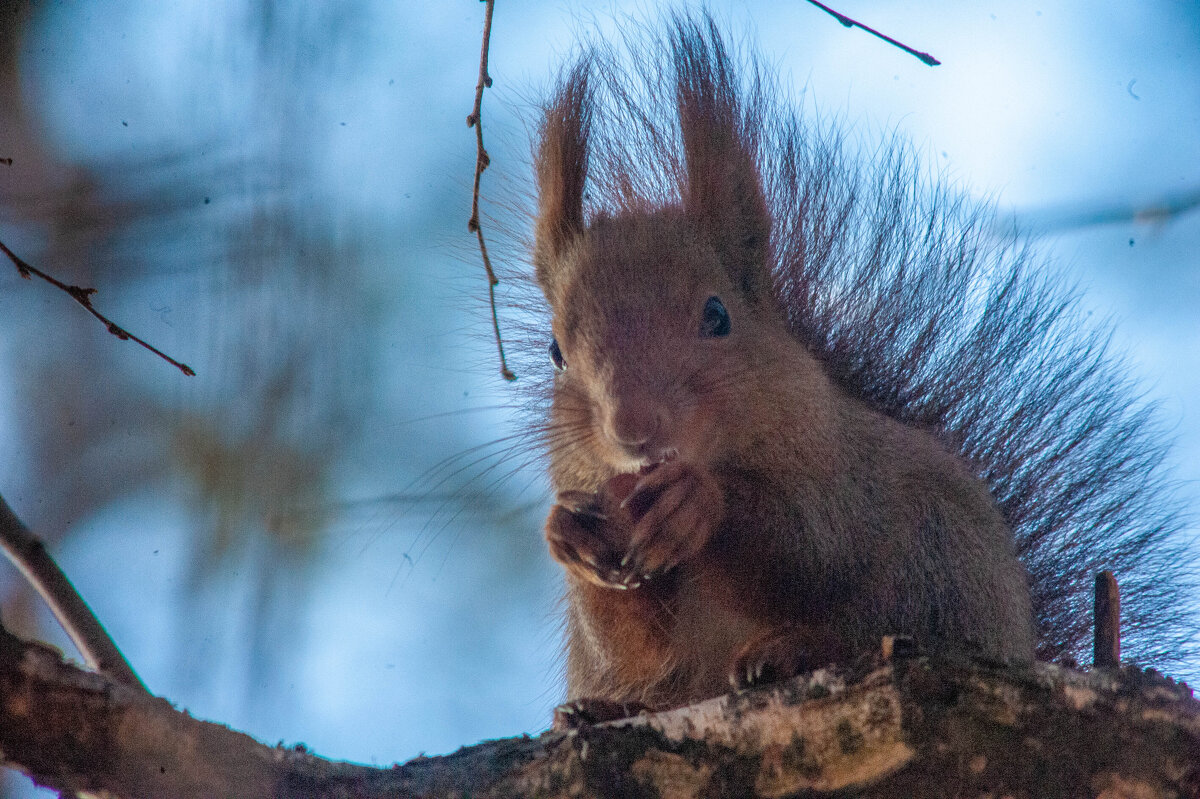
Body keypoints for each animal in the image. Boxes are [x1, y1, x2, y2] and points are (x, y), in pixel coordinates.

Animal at [528, 14, 1190, 719]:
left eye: (717, 315)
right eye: (556, 352)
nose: (634, 428)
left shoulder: (845, 478)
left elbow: (813, 546)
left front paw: (698, 500)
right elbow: (632, 643)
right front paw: (568, 532)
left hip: (939, 569)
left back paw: (784, 653)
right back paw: (602, 707)